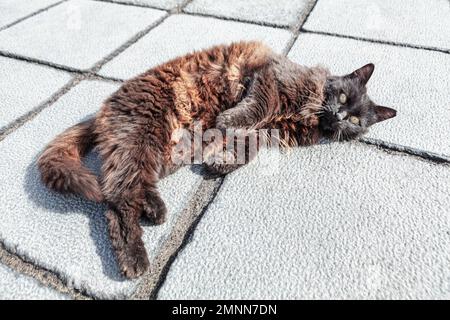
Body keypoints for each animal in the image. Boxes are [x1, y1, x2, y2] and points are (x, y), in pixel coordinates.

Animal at [38, 42, 398, 278]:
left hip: (155, 153)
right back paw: (136, 258)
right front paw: (227, 121)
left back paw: (155, 207)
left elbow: (247, 150)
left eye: (356, 120)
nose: (340, 116)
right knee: (118, 200)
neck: (309, 114)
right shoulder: (270, 79)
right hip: (142, 137)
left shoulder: (266, 133)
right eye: (342, 97)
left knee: (121, 193)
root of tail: (104, 109)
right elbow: (253, 108)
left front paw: (220, 160)